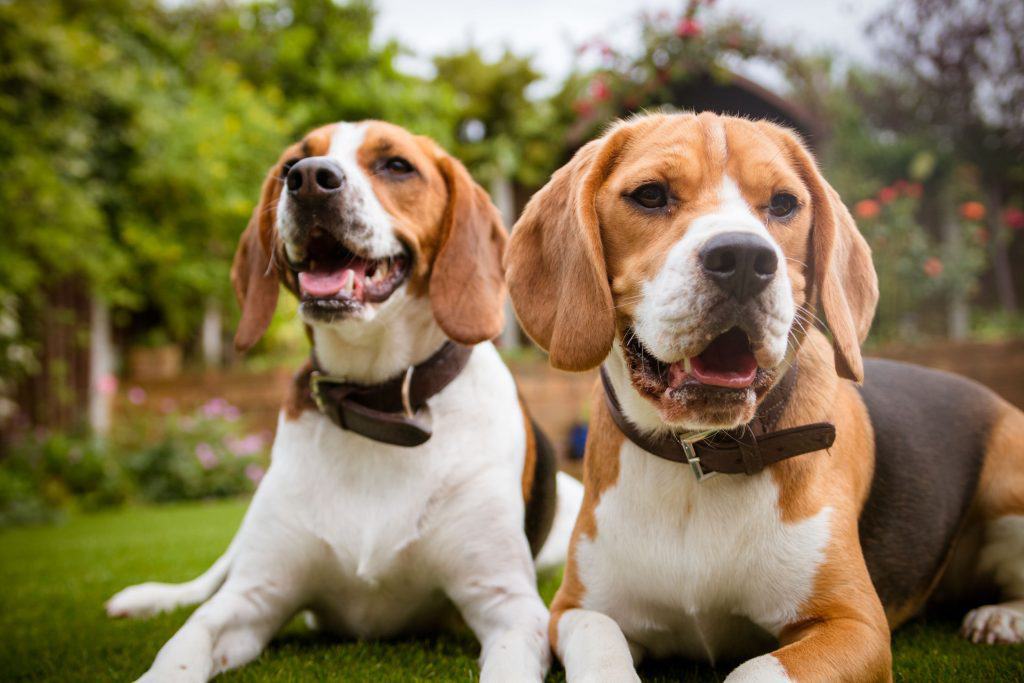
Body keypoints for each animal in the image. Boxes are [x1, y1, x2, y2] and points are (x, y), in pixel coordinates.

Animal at [105, 120, 585, 679]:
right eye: (291, 164)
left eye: (397, 165)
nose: (310, 179)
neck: (374, 402)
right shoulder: (252, 596)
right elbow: (186, 642)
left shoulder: (508, 604)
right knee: (208, 580)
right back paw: (147, 597)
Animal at [503, 109, 1024, 679]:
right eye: (650, 195)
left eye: (783, 203)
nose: (744, 258)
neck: (701, 461)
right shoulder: (576, 610)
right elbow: (602, 650)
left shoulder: (855, 626)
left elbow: (754, 668)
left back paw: (1001, 616)